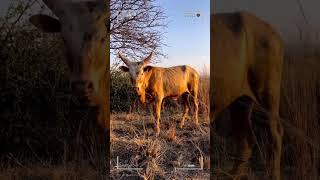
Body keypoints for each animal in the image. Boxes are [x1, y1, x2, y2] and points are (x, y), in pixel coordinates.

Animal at [211, 11, 284, 180]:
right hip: (239, 101)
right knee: (246, 139)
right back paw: (232, 174)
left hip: (267, 94)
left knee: (275, 134)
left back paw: (273, 175)